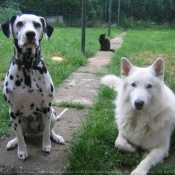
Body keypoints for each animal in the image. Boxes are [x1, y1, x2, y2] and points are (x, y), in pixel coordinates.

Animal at [0, 14, 65, 161]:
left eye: (37, 24)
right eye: (19, 23)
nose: (30, 34)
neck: (28, 66)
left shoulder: (46, 108)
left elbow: (46, 132)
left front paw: (46, 145)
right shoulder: (13, 111)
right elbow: (19, 135)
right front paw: (22, 151)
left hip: (52, 114)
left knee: (49, 130)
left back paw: (55, 137)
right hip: (15, 119)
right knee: (21, 134)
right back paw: (14, 142)